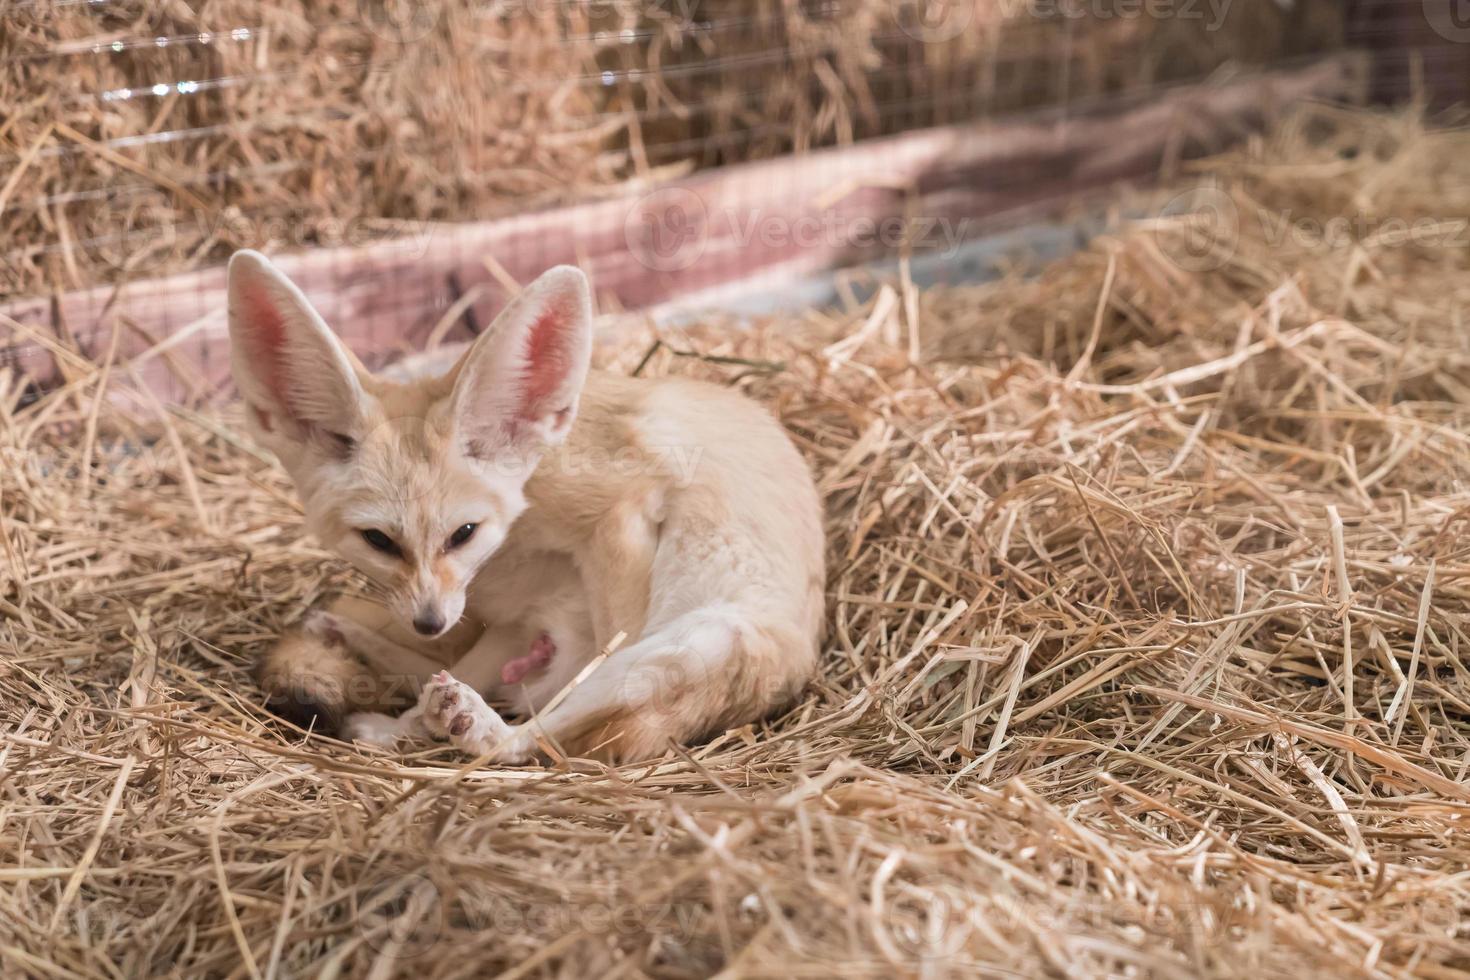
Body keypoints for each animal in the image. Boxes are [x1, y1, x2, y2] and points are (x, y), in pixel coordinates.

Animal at [229, 249, 829, 764]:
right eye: (379, 540)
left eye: (464, 533)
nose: (429, 620)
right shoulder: (494, 617)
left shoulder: (622, 510)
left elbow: (606, 646)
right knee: (441, 688)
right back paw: (366, 672)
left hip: (695, 639)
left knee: (539, 736)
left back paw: (469, 723)